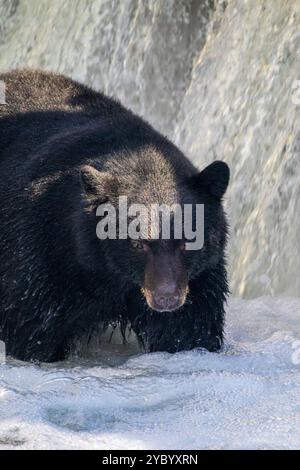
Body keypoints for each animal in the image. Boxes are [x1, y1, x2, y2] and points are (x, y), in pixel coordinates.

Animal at [0, 70, 230, 364]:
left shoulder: (198, 279)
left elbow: (189, 328)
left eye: (189, 241)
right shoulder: (42, 250)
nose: (167, 298)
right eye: (138, 243)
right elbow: (32, 324)